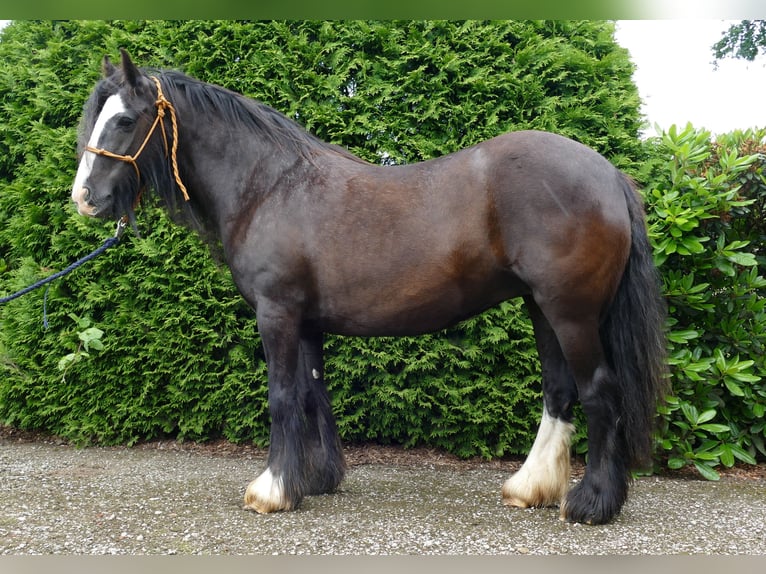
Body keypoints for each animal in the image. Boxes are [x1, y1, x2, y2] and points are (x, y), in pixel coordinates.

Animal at [73, 49, 672, 528]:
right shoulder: (306, 322)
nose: (84, 198)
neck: (269, 186)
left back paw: (592, 503)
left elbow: (282, 396)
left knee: (599, 391)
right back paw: (531, 488)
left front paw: (272, 490)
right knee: (559, 391)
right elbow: (313, 394)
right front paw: (315, 479)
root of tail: (609, 175)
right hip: (541, 308)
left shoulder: (277, 314)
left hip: (571, 312)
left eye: (124, 119)